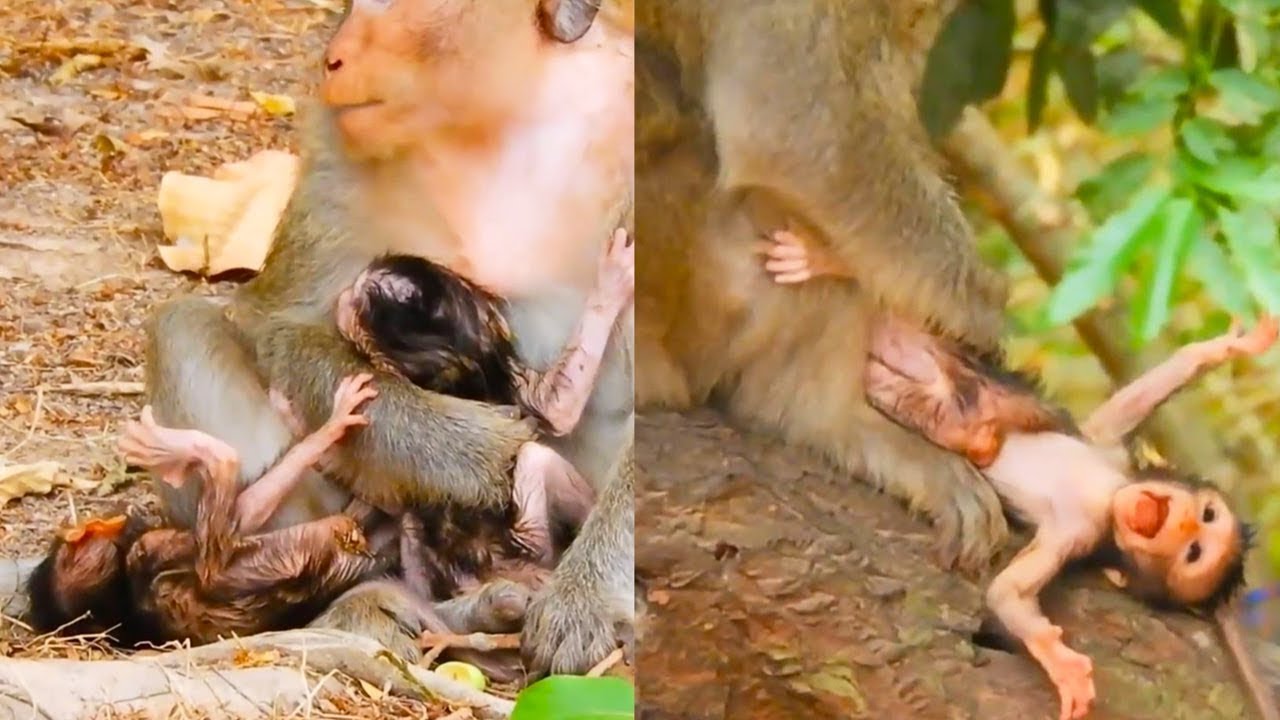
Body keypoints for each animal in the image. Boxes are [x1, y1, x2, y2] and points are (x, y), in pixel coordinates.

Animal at [125, 0, 633, 675]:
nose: (333, 57)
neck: (502, 124)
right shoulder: (337, 141)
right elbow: (279, 323)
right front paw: (469, 452)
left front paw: (587, 600)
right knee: (181, 326)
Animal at [756, 229, 1279, 720]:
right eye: (1206, 518)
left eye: (1194, 553)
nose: (1184, 520)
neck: (1108, 496)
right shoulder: (1111, 454)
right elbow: (1124, 406)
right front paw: (1226, 347)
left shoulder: (1076, 535)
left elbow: (1009, 592)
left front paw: (1056, 659)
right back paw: (822, 259)